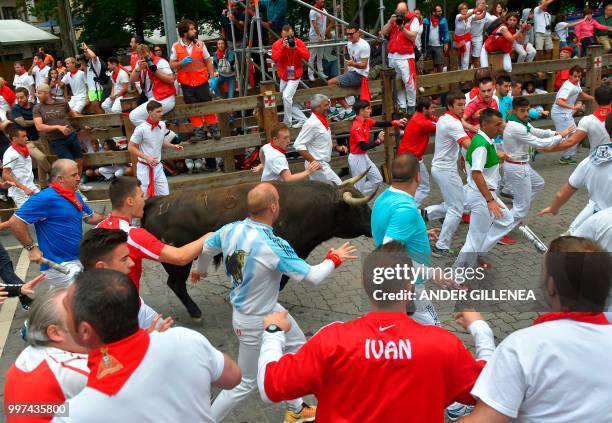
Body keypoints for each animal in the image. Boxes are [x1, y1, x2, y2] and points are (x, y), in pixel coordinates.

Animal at [140, 174, 376, 320]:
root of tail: (157, 202)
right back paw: (195, 311)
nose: (375, 225)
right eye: (361, 208)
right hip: (178, 262)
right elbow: (279, 282)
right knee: (176, 284)